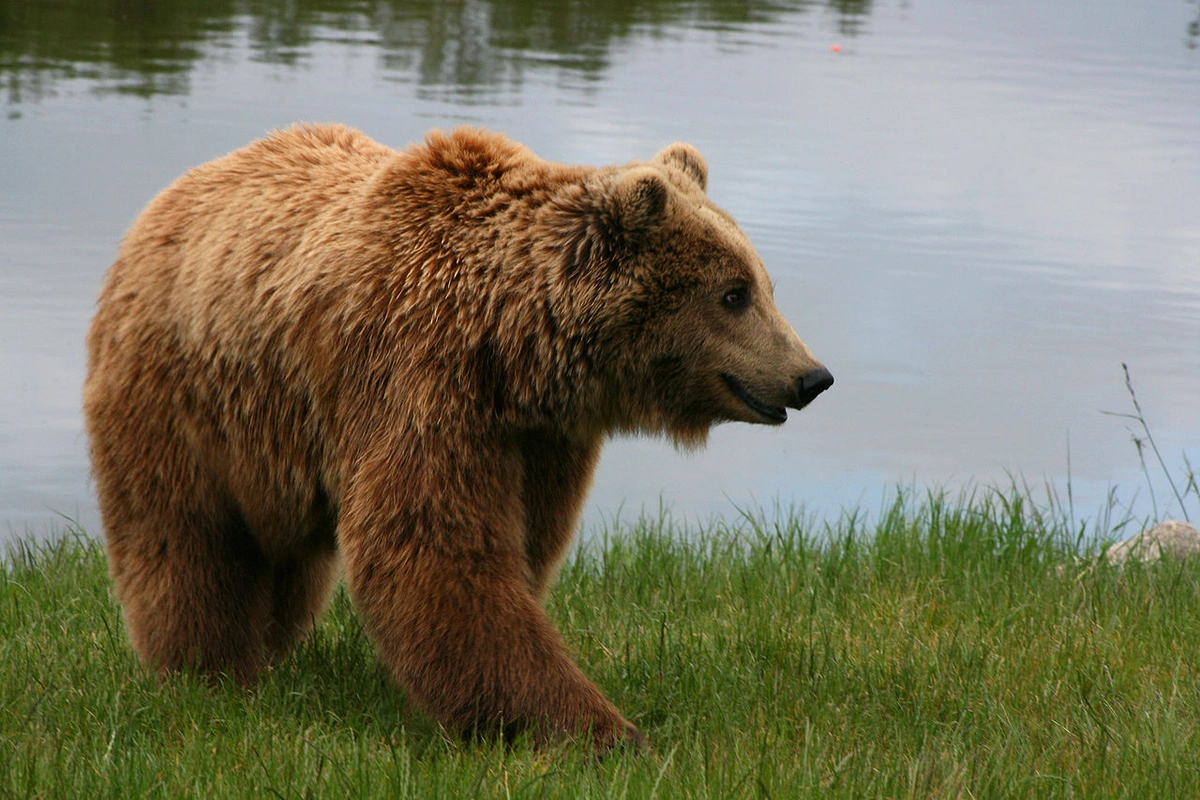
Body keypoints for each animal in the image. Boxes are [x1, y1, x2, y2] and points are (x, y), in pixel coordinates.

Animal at [82, 123, 835, 753]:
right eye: (734, 293)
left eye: (763, 284)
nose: (811, 376)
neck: (510, 346)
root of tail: (167, 199)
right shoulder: (419, 381)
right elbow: (437, 550)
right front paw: (600, 730)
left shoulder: (539, 441)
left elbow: (521, 545)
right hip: (184, 396)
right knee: (187, 538)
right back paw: (204, 670)